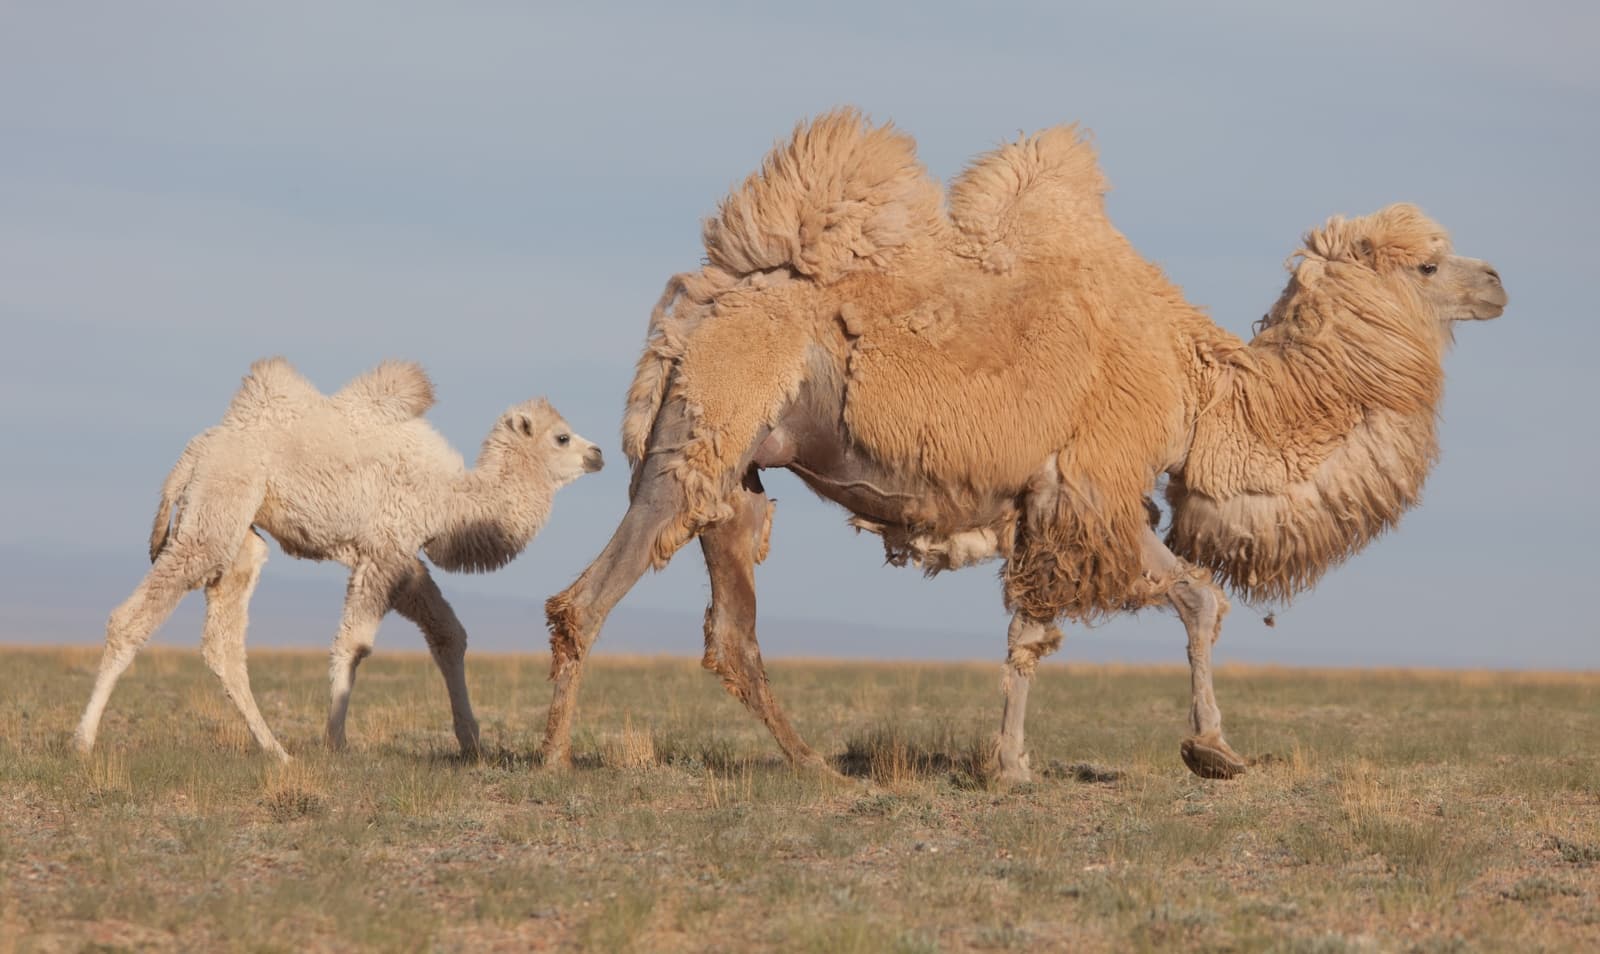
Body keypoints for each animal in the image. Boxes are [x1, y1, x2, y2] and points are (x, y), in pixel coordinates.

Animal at [75, 358, 601, 758]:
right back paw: (83, 739)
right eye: (561, 437)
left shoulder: (402, 558)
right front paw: (335, 742)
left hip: (239, 535)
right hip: (213, 519)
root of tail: (195, 451)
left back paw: (276, 751)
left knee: (222, 643)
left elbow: (449, 634)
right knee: (133, 618)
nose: (597, 453)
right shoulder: (384, 549)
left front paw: (471, 743)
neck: (451, 499)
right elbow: (355, 644)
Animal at [544, 109, 1504, 781]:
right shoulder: (1096, 488)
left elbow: (1028, 636)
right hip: (699, 437)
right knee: (587, 598)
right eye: (1428, 264)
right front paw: (1212, 751)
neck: (1196, 390)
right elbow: (1197, 599)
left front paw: (1008, 764)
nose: (1497, 282)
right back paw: (554, 759)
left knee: (732, 636)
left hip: (739, 477)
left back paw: (816, 766)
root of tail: (695, 310)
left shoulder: (1045, 506)